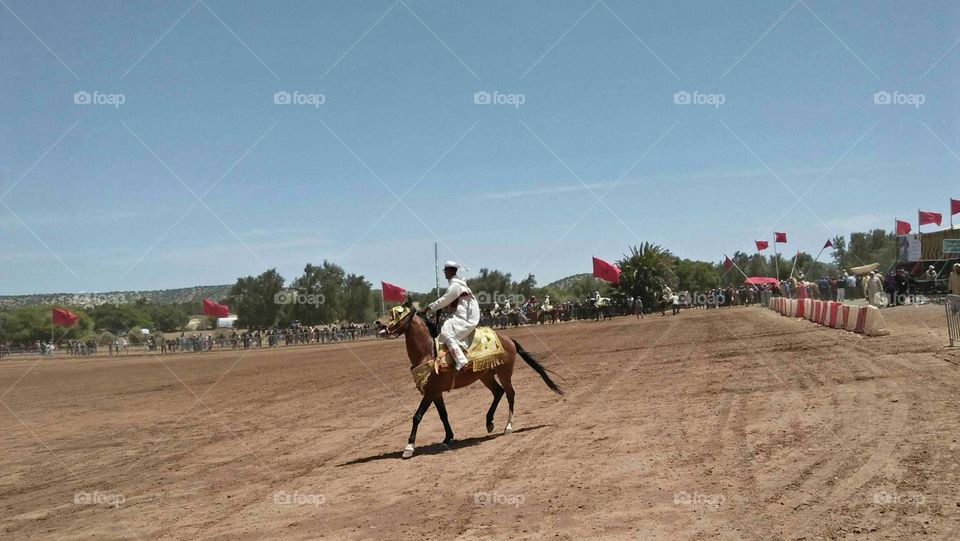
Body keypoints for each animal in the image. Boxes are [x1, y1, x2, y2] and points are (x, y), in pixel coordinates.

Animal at [376, 302, 564, 458]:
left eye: (395, 313)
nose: (377, 323)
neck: (428, 353)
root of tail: (508, 340)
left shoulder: (430, 392)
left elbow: (417, 416)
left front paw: (409, 447)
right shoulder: (436, 393)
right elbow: (443, 415)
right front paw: (448, 438)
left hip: (504, 373)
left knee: (510, 394)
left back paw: (508, 426)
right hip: (485, 375)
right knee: (498, 392)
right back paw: (489, 422)